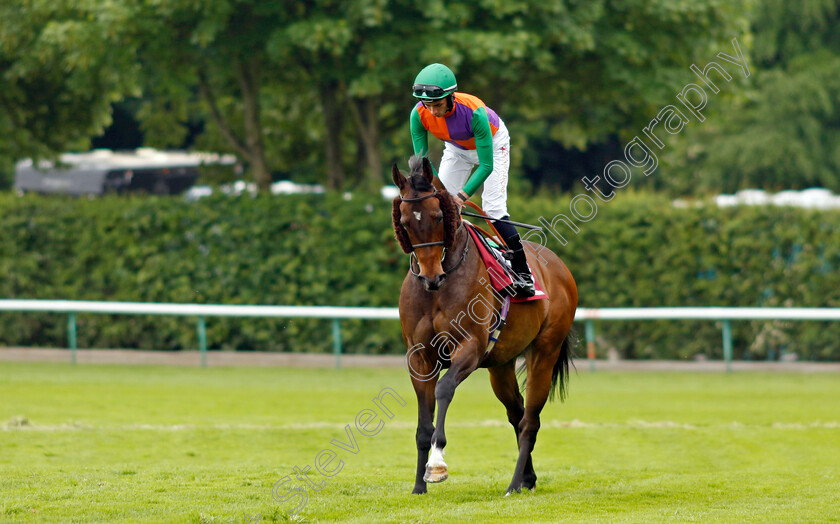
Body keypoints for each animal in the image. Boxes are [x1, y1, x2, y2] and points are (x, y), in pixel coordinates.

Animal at [388, 156, 576, 496]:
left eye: (438, 216)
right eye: (405, 222)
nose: (431, 277)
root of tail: (558, 265)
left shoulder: (470, 347)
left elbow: (444, 389)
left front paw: (437, 465)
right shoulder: (419, 356)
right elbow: (423, 422)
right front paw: (418, 485)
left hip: (545, 352)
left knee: (530, 421)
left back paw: (514, 484)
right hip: (500, 365)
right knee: (516, 413)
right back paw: (527, 478)